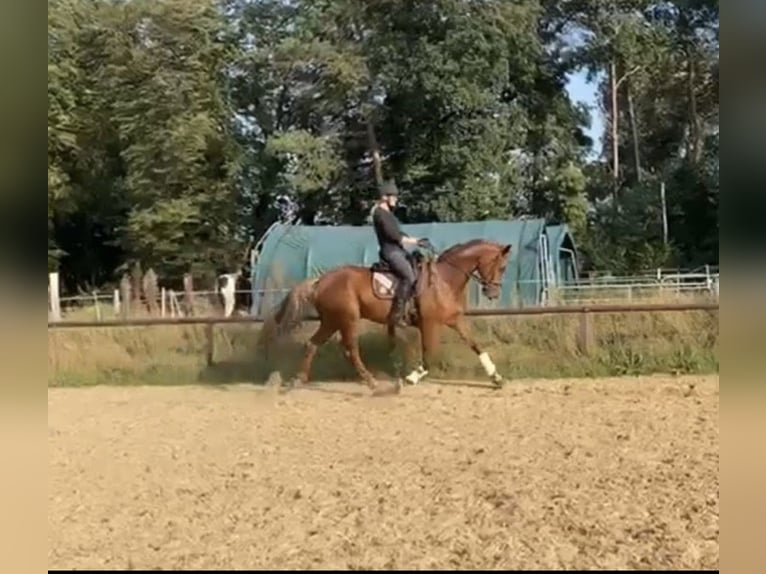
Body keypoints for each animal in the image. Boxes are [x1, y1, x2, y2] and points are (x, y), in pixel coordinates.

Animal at [266, 236, 516, 394]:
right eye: (502, 267)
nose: (493, 293)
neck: (444, 280)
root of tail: (321, 280)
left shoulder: (454, 320)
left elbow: (476, 345)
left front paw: (496, 379)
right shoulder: (429, 323)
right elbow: (429, 353)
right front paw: (411, 378)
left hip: (331, 321)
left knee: (312, 344)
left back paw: (299, 380)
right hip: (347, 319)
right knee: (350, 349)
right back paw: (372, 383)